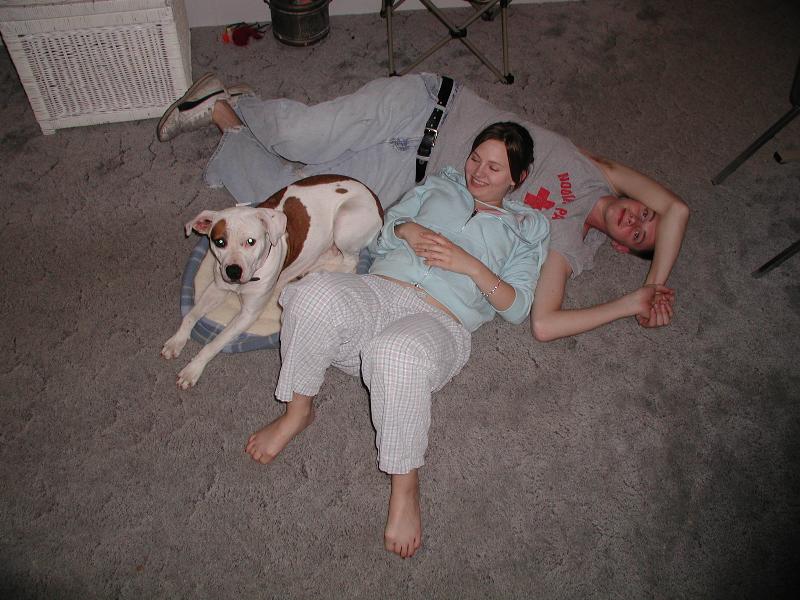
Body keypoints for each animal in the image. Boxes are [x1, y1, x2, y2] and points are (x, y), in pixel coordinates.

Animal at [161, 174, 383, 389]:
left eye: (251, 241)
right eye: (220, 242)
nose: (233, 271)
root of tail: (374, 196)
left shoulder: (248, 313)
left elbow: (215, 342)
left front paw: (192, 369)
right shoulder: (217, 287)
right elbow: (191, 315)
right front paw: (175, 341)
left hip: (344, 222)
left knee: (350, 262)